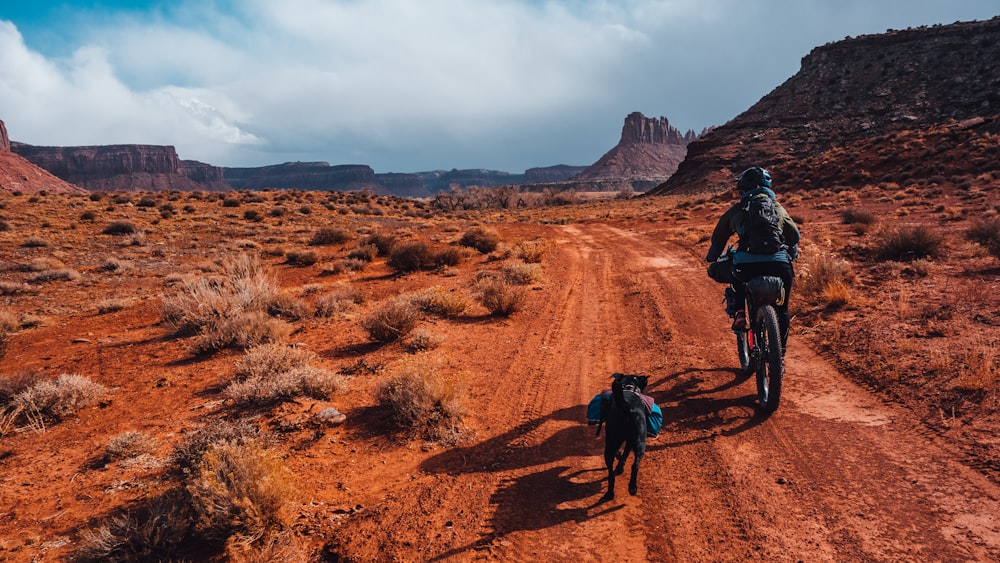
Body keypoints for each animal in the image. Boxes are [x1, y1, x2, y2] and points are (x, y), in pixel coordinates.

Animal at [600, 374, 648, 502]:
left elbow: (620, 453)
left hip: (610, 445)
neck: (628, 386)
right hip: (640, 443)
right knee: (635, 465)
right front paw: (620, 466)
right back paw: (632, 488)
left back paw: (610, 493)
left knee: (611, 475)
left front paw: (619, 460)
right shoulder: (630, 441)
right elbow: (625, 454)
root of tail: (626, 406)